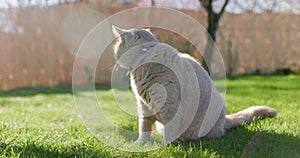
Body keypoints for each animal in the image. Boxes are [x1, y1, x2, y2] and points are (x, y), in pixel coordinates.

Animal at [111, 25, 278, 144]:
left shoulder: (169, 105)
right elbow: (144, 128)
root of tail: (224, 119)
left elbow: (170, 130)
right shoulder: (144, 106)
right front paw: (140, 144)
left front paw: (165, 146)